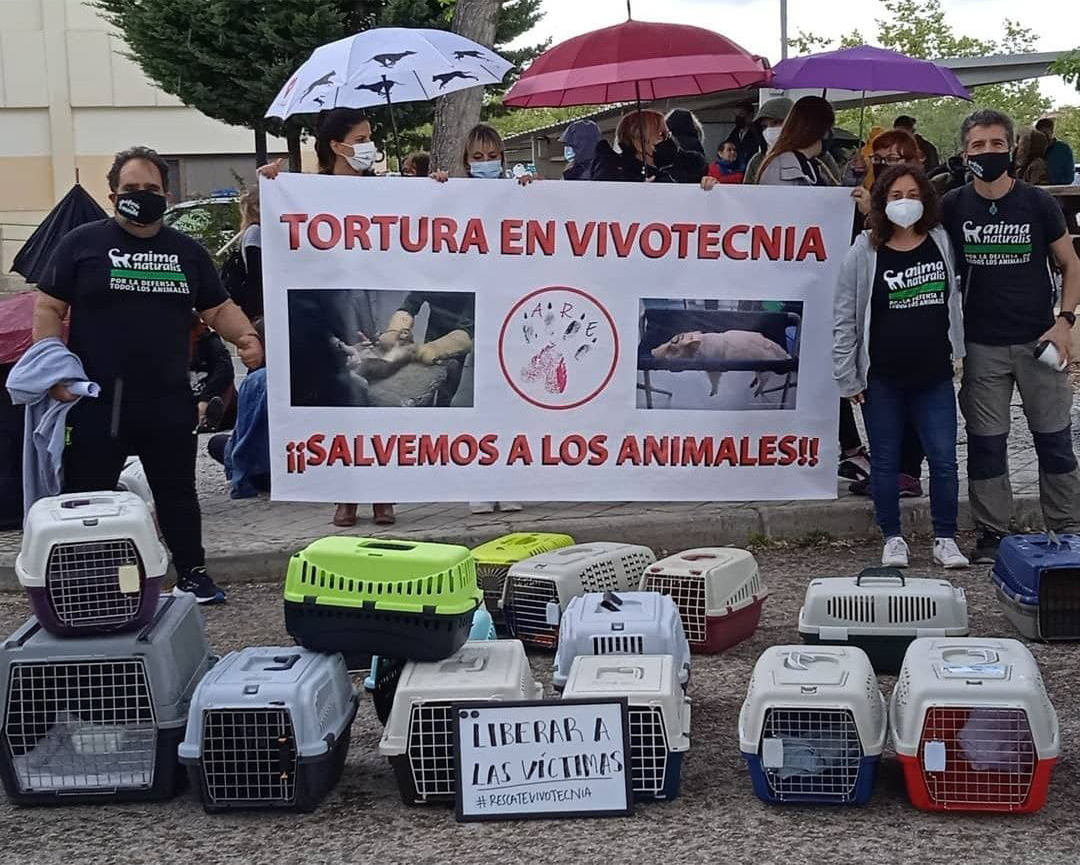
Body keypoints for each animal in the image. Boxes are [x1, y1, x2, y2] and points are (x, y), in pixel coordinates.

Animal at [650, 329, 791, 398]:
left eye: (673, 348)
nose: (652, 351)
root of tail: (783, 354)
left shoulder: (713, 370)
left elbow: (714, 381)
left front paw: (711, 395)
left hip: (765, 370)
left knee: (765, 381)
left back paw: (755, 394)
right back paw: (752, 386)